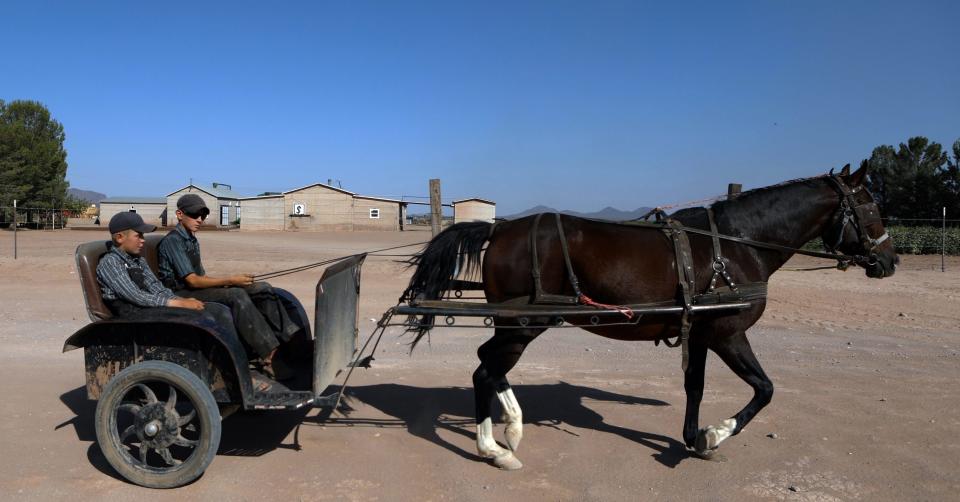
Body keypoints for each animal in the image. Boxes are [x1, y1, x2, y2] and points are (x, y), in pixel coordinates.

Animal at [402, 166, 896, 470]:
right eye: (872, 207)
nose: (889, 261)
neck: (735, 246)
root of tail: (499, 227)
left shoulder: (699, 335)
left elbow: (695, 386)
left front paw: (693, 438)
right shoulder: (728, 334)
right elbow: (764, 389)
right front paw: (716, 435)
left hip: (516, 325)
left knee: (488, 364)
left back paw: (511, 427)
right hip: (523, 325)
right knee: (485, 370)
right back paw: (494, 448)